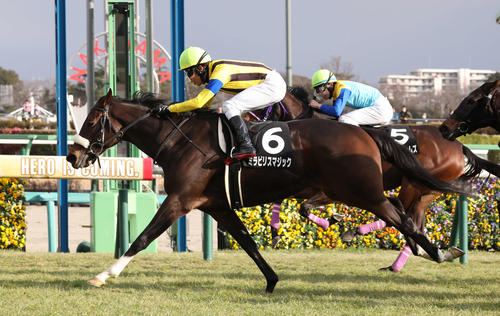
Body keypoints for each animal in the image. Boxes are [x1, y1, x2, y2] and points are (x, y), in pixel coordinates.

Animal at [66, 89, 464, 292]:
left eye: (91, 119)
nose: (72, 155)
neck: (179, 140)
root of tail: (364, 132)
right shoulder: (216, 205)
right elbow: (248, 242)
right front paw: (272, 281)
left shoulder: (179, 200)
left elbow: (143, 237)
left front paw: (104, 274)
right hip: (355, 190)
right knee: (403, 212)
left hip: (363, 192)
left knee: (405, 219)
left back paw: (438, 252)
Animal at [258, 86, 500, 272]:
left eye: (263, 106)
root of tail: (459, 145)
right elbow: (290, 203)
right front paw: (276, 231)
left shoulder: (330, 189)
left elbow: (303, 206)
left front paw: (332, 219)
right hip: (427, 191)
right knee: (412, 219)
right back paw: (406, 260)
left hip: (414, 183)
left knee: (402, 212)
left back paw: (360, 233)